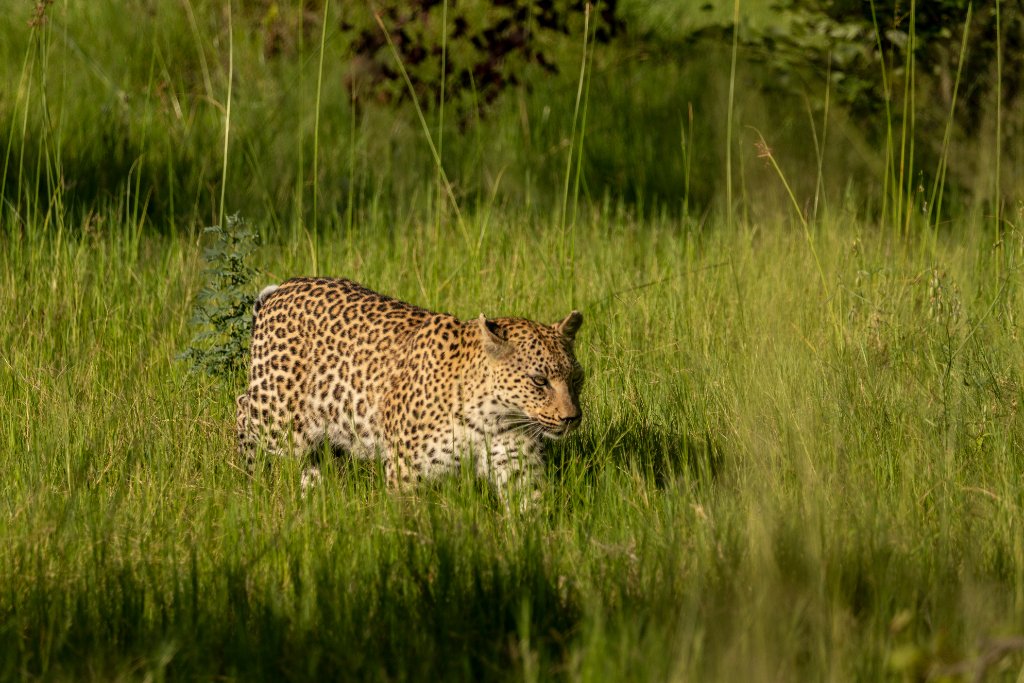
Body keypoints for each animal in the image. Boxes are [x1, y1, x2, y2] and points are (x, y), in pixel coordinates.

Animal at [235, 277, 584, 506]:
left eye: (577, 379)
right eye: (539, 381)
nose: (572, 418)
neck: (491, 418)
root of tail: (282, 289)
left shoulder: (517, 468)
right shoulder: (406, 474)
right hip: (280, 422)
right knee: (242, 409)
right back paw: (246, 480)